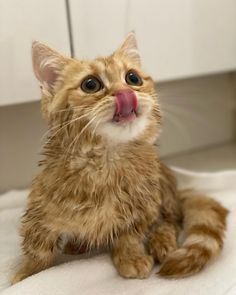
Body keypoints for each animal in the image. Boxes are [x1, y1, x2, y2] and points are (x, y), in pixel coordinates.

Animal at [12, 32, 228, 284]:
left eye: (133, 78)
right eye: (90, 84)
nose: (126, 93)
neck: (105, 162)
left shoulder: (142, 207)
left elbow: (129, 235)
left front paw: (131, 257)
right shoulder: (40, 212)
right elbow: (37, 252)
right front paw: (26, 274)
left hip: (163, 194)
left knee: (170, 220)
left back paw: (162, 241)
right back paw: (78, 244)